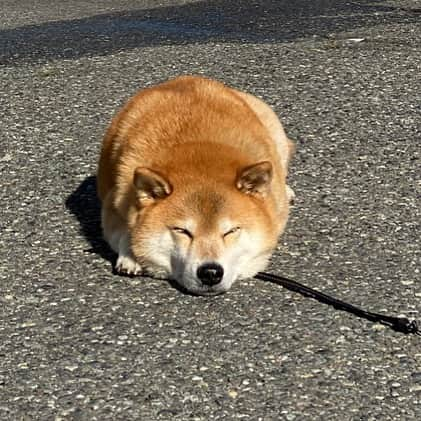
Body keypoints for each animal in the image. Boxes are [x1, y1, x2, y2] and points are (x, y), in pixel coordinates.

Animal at [97, 75, 296, 294]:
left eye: (230, 231)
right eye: (182, 231)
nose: (210, 272)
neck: (199, 153)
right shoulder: (112, 205)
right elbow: (124, 230)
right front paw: (131, 255)